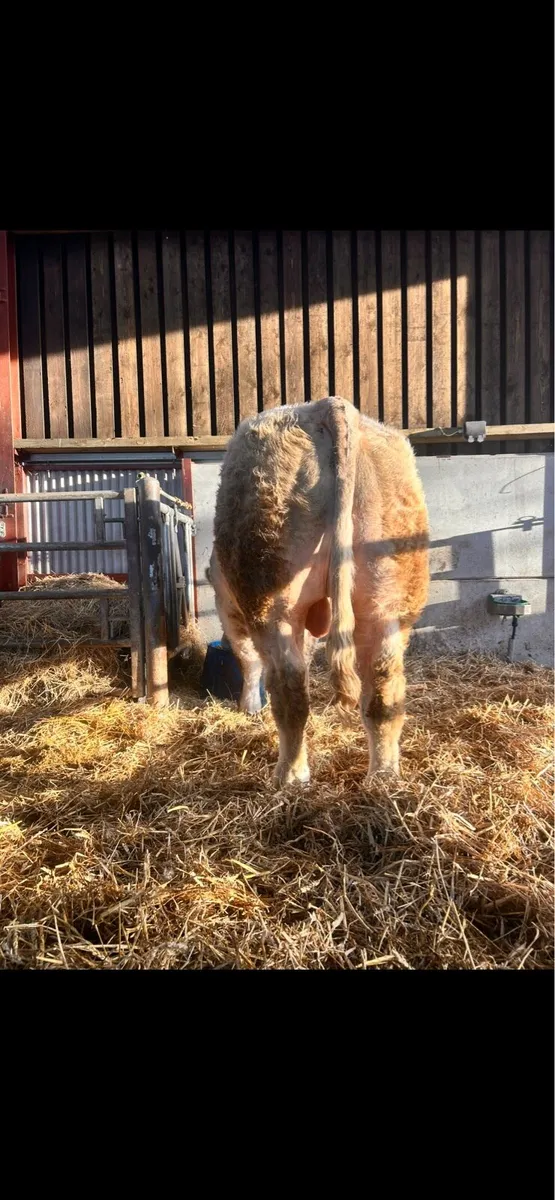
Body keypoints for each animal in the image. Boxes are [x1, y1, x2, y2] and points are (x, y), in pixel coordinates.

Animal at [209, 397, 429, 787]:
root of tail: (328, 405)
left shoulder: (228, 608)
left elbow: (247, 659)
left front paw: (249, 707)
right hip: (389, 600)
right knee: (383, 690)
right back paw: (383, 777)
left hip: (273, 602)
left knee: (290, 689)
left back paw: (289, 776)